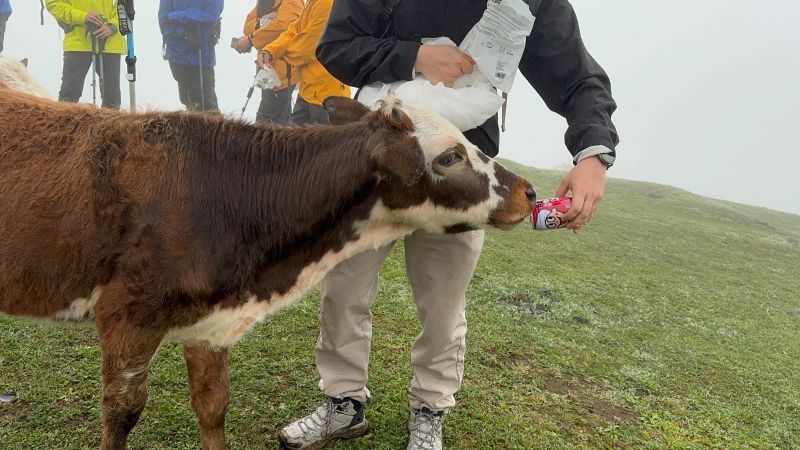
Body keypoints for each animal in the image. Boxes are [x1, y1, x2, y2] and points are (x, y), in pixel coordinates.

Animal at [0, 87, 536, 450]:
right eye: (450, 156)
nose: (527, 192)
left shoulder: (210, 322)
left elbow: (213, 405)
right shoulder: (127, 317)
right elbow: (121, 414)